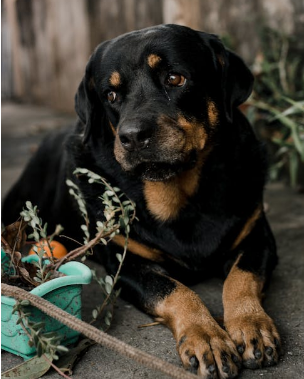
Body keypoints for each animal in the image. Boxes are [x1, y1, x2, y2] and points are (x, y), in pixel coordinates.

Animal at [3, 25, 282, 378]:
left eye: (175, 78)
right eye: (110, 95)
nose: (132, 136)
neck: (178, 194)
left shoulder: (257, 237)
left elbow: (241, 278)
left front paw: (250, 324)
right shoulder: (126, 263)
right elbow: (174, 290)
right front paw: (206, 336)